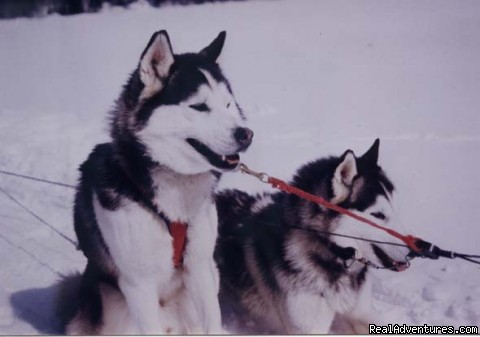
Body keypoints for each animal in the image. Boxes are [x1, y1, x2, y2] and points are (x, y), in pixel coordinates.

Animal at [64, 30, 251, 334]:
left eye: (228, 104)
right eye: (199, 106)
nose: (246, 134)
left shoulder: (199, 266)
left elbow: (212, 318)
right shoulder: (138, 285)